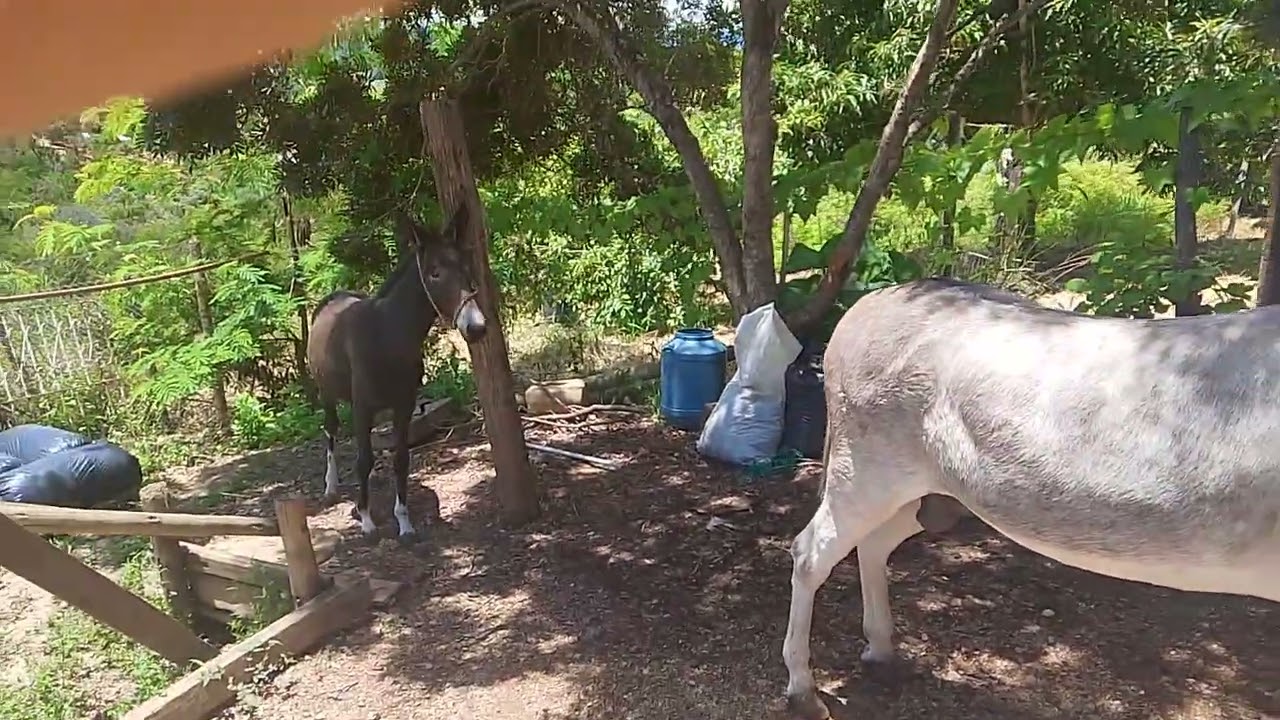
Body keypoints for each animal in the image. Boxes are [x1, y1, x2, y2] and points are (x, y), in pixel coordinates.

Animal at [305, 207, 486, 543]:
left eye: (466, 266)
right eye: (434, 272)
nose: (477, 327)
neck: (386, 334)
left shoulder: (404, 405)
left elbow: (401, 459)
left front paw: (404, 522)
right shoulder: (363, 407)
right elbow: (364, 459)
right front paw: (366, 520)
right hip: (328, 394)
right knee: (331, 431)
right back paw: (331, 486)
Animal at [782, 278, 1280, 719]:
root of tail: (871, 301)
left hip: (929, 491)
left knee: (873, 545)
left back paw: (881, 650)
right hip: (868, 470)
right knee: (811, 554)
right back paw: (803, 690)